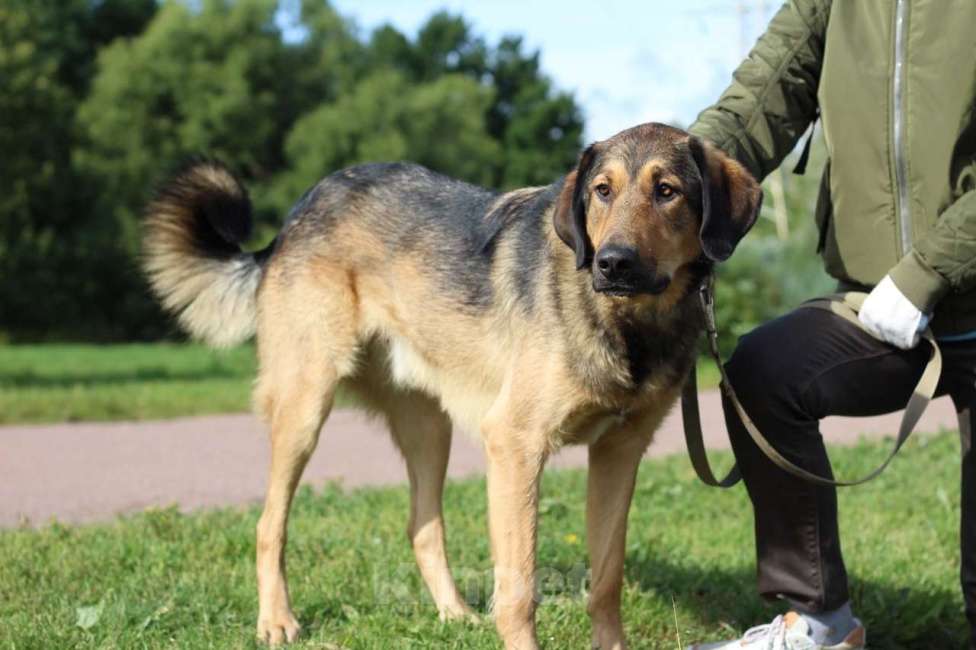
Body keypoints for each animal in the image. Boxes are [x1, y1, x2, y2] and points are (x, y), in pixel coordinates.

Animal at [141, 120, 764, 644]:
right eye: (602, 192)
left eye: (667, 191)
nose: (612, 263)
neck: (628, 324)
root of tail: (299, 211)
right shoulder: (514, 445)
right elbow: (519, 591)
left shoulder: (619, 452)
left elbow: (606, 582)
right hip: (305, 405)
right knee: (269, 524)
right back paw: (276, 621)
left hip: (428, 428)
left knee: (421, 525)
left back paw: (454, 614)